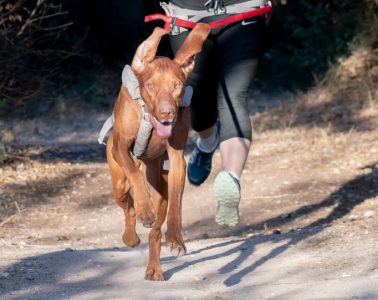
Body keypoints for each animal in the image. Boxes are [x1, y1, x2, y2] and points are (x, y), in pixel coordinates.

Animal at [105, 24, 210, 282]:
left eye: (177, 85)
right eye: (151, 86)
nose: (167, 114)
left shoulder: (177, 159)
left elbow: (176, 204)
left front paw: (176, 239)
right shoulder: (121, 147)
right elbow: (134, 174)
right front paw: (144, 208)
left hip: (159, 183)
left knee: (155, 231)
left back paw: (154, 267)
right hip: (118, 181)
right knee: (128, 202)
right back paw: (131, 236)